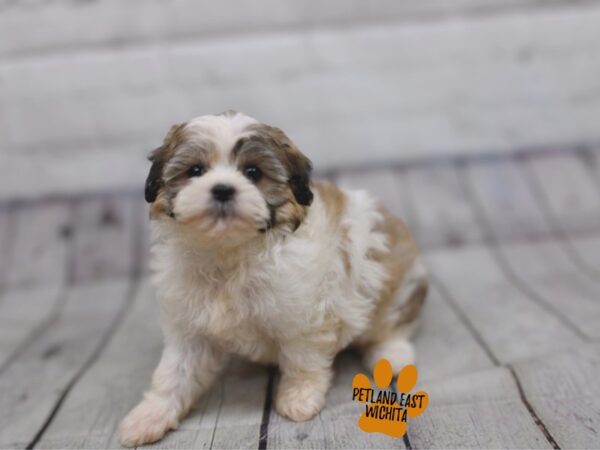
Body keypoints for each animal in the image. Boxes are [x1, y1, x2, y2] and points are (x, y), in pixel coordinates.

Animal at [118, 111, 426, 446]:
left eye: (253, 172)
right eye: (195, 170)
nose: (222, 189)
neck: (229, 254)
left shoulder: (304, 318)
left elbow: (303, 360)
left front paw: (299, 398)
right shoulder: (189, 328)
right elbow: (175, 371)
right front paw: (151, 415)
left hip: (391, 279)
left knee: (391, 324)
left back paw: (391, 357)